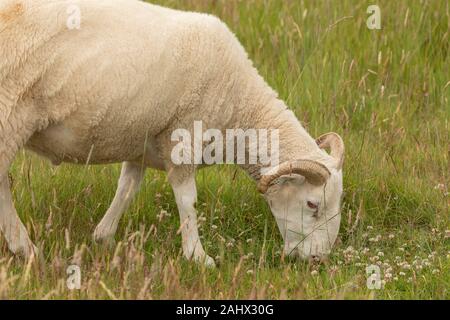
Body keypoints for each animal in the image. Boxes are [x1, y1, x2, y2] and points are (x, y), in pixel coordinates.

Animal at [0, 0, 344, 266]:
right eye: (312, 205)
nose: (317, 260)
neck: (239, 106)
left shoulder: (139, 137)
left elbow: (127, 187)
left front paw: (104, 236)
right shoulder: (184, 135)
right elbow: (187, 199)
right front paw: (198, 257)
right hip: (10, 114)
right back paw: (25, 247)